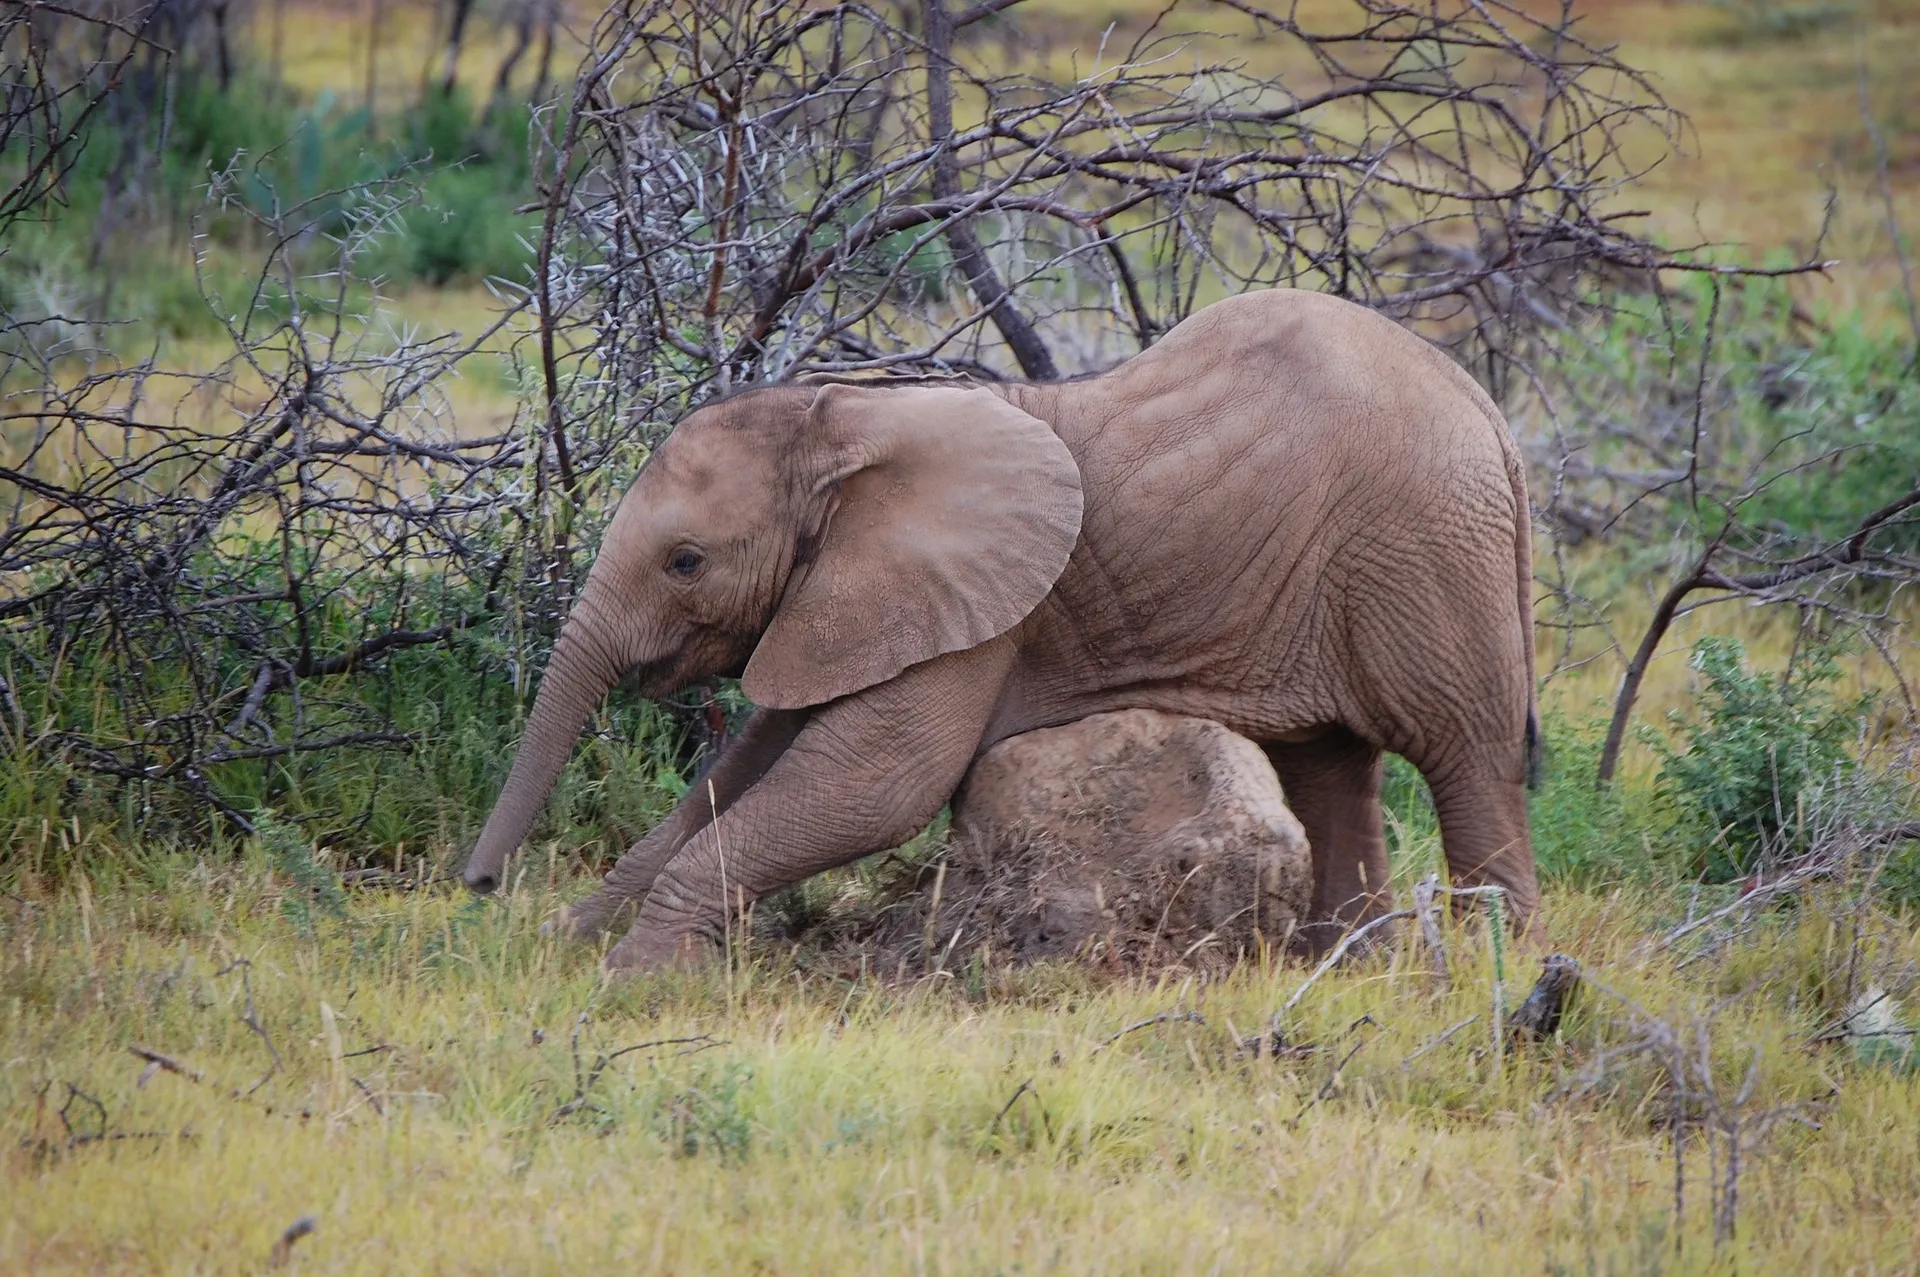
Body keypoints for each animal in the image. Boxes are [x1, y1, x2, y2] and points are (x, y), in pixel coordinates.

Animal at [456, 286, 1536, 967]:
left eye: (686, 560)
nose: (478, 888)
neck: (852, 416)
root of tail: (1488, 409)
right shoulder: (851, 598)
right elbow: (748, 769)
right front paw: (571, 939)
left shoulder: (981, 611)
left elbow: (872, 788)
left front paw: (635, 976)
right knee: (1330, 769)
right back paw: (1345, 965)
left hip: (1429, 555)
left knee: (1467, 761)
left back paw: (1502, 969)